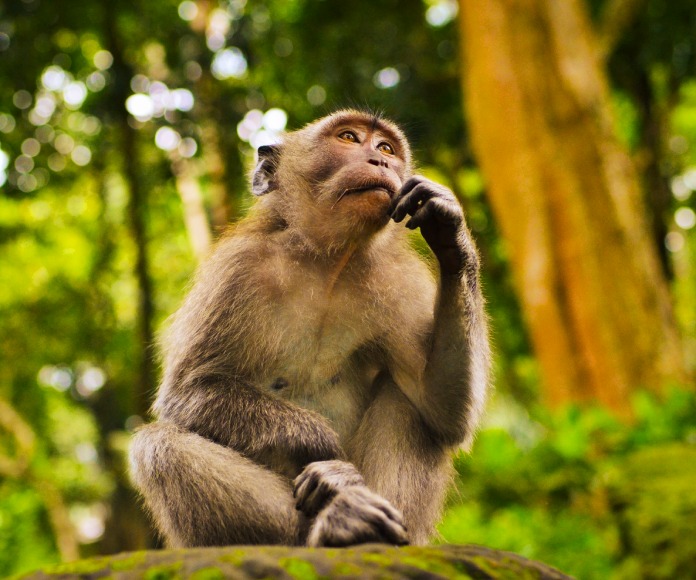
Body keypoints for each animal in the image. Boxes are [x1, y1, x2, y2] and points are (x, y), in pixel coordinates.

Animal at [130, 109, 490, 548]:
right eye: (349, 138)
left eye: (386, 147)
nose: (381, 161)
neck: (327, 263)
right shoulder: (236, 270)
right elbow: (188, 391)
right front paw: (328, 454)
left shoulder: (399, 282)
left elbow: (443, 409)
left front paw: (449, 229)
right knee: (157, 445)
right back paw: (337, 521)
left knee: (407, 401)